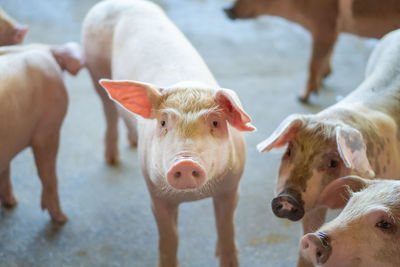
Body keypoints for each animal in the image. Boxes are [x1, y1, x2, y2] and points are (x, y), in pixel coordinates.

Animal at [0, 43, 84, 224]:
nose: (63, 218)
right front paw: (62, 219)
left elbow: (6, 170)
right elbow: (49, 175)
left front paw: (12, 203)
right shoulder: (48, 131)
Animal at [83, 0, 255, 267]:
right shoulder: (155, 192)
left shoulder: (232, 186)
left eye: (216, 122)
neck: (195, 196)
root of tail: (113, 3)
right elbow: (169, 238)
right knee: (109, 111)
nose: (185, 162)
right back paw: (111, 159)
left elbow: (226, 228)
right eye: (163, 122)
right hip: (93, 67)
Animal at [223, 0, 400, 102]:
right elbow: (327, 54)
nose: (226, 9)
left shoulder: (325, 24)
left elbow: (313, 63)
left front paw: (301, 97)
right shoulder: (332, 31)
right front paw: (322, 81)